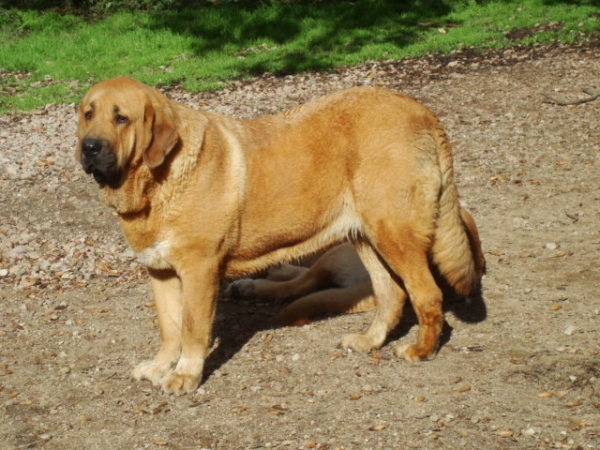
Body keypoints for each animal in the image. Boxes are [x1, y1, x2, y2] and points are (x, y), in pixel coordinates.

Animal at [77, 76, 486, 394]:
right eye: (88, 114)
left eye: (121, 118)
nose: (89, 147)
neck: (155, 183)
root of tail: (421, 111)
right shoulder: (160, 272)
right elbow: (169, 328)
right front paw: (161, 366)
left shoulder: (199, 271)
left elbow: (191, 329)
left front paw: (185, 375)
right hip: (366, 239)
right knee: (391, 294)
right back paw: (368, 341)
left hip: (394, 235)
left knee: (426, 295)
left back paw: (421, 350)